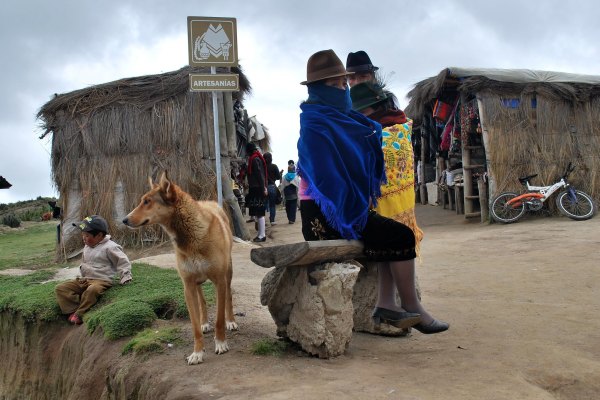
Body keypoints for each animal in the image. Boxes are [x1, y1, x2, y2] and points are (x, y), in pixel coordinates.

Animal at [123, 170, 238, 364]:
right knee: (203, 301)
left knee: (228, 297)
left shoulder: (219, 281)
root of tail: (209, 202)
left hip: (228, 273)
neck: (192, 236)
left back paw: (231, 321)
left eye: (147, 201)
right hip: (197, 281)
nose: (124, 220)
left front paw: (221, 343)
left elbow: (219, 319)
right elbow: (194, 326)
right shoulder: (188, 286)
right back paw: (204, 322)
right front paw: (197, 352)